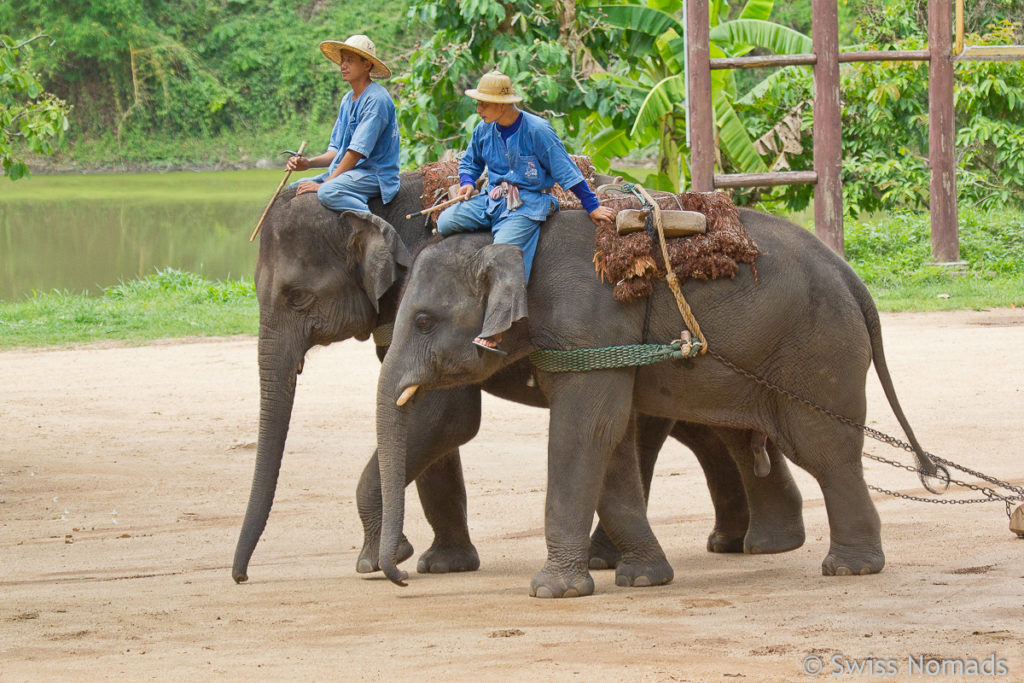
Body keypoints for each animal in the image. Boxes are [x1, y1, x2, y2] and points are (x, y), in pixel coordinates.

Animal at [228, 174, 802, 585]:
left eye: (296, 297)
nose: (241, 578)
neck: (383, 201)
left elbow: (447, 417)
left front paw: (377, 562)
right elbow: (429, 419)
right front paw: (442, 565)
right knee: (709, 427)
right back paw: (744, 542)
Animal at [372, 206, 937, 598]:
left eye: (423, 321)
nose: (400, 575)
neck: (513, 239)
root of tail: (853, 280)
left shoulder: (588, 326)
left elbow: (585, 432)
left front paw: (552, 592)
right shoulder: (589, 349)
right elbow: (611, 439)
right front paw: (644, 579)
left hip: (818, 350)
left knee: (825, 450)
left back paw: (849, 568)